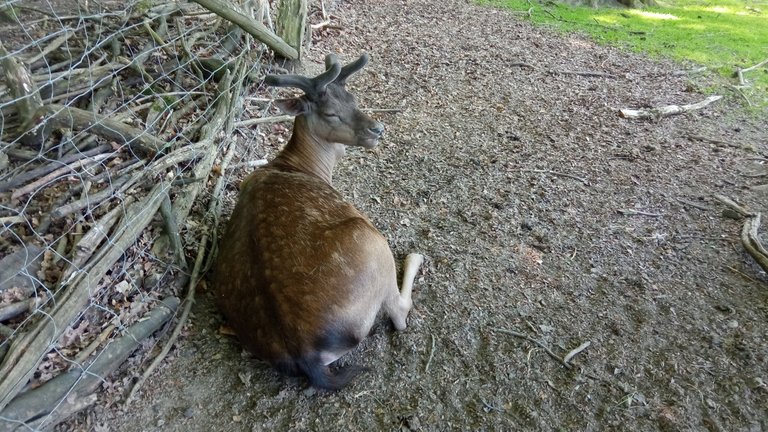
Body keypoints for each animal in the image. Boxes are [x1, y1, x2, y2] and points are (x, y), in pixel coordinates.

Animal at [213, 54, 424, 392]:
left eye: (353, 98)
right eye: (330, 113)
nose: (377, 129)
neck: (305, 166)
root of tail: (307, 356)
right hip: (370, 240)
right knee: (399, 312)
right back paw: (415, 257)